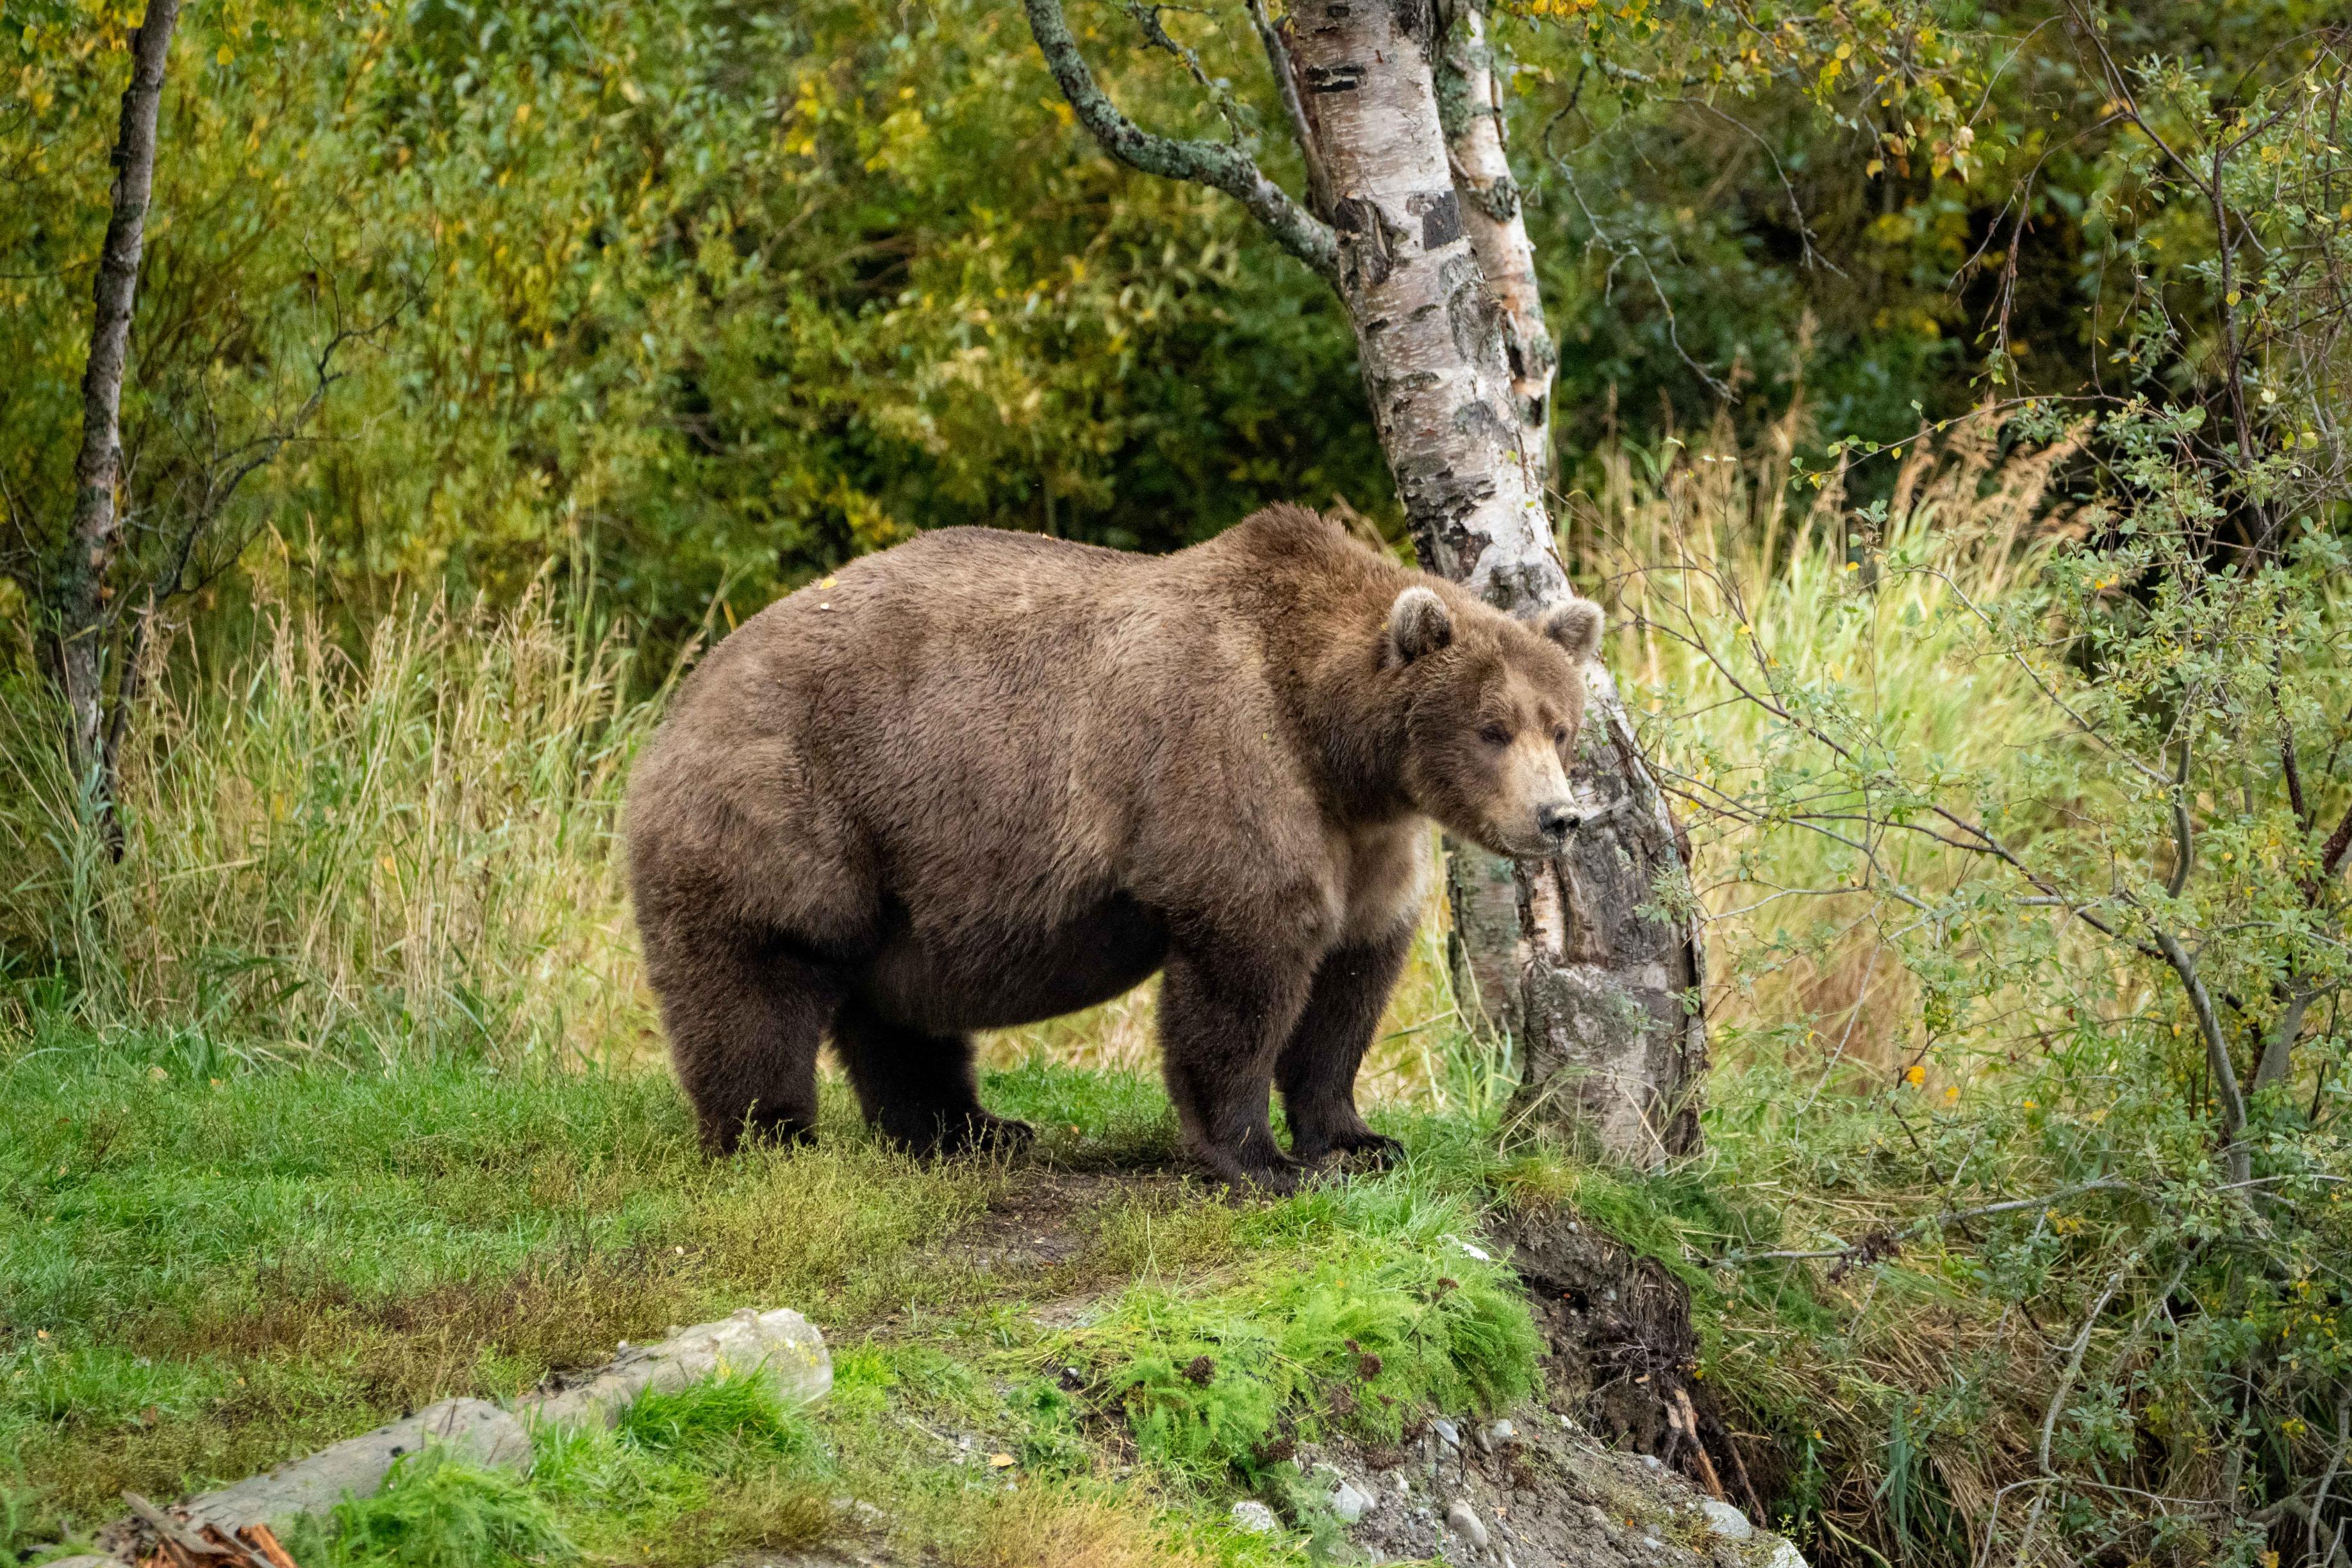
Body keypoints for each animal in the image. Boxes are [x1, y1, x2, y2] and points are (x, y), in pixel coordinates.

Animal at [630, 505, 1599, 1189]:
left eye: (1560, 724)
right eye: (1491, 728)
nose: (1559, 816)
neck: (1338, 747)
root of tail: (680, 700)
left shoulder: (1370, 841)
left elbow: (1350, 982)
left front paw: (1358, 1139)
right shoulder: (1227, 762)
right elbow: (1244, 972)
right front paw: (1261, 1158)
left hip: (903, 867)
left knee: (897, 1006)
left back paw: (972, 1129)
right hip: (791, 805)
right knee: (758, 976)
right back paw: (774, 1137)